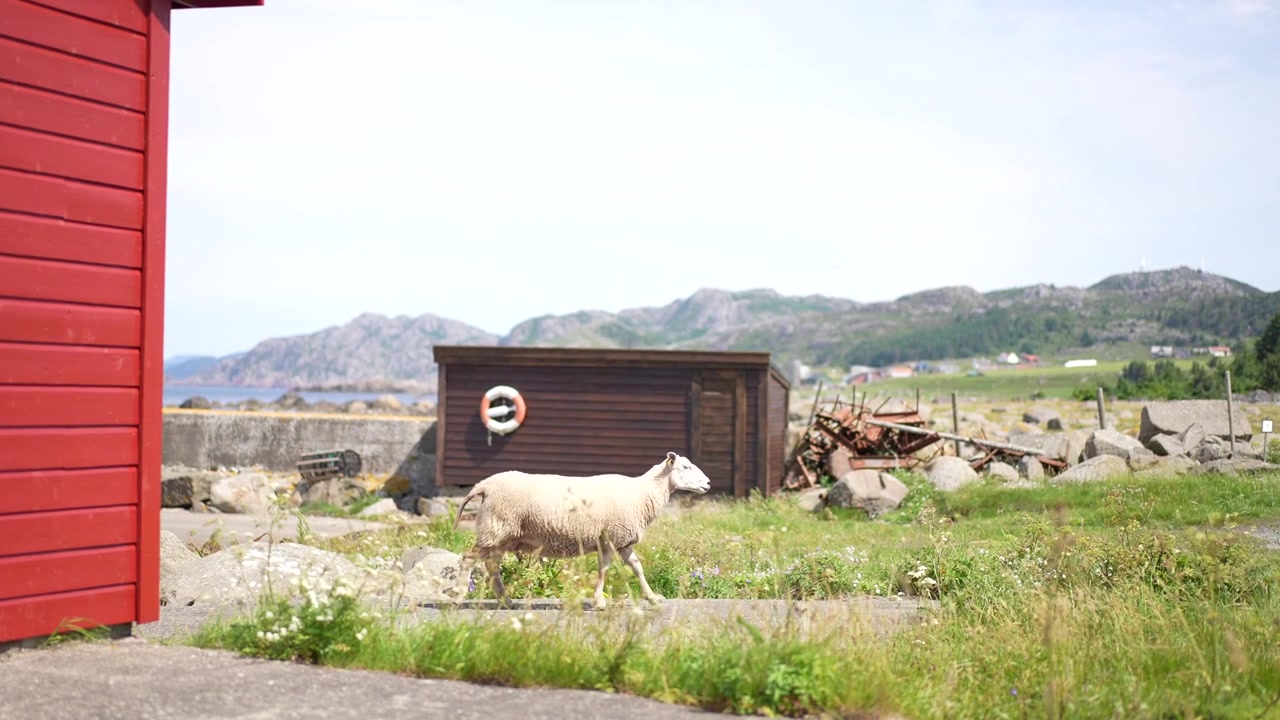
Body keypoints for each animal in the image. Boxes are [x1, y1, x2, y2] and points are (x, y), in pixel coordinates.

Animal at [447, 451, 711, 610]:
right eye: (686, 467)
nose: (708, 483)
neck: (644, 492)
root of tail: (484, 485)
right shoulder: (609, 538)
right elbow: (604, 570)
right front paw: (599, 601)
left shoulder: (621, 542)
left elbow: (637, 567)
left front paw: (652, 597)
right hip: (495, 529)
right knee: (468, 559)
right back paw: (458, 596)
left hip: (503, 535)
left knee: (492, 566)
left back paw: (506, 600)